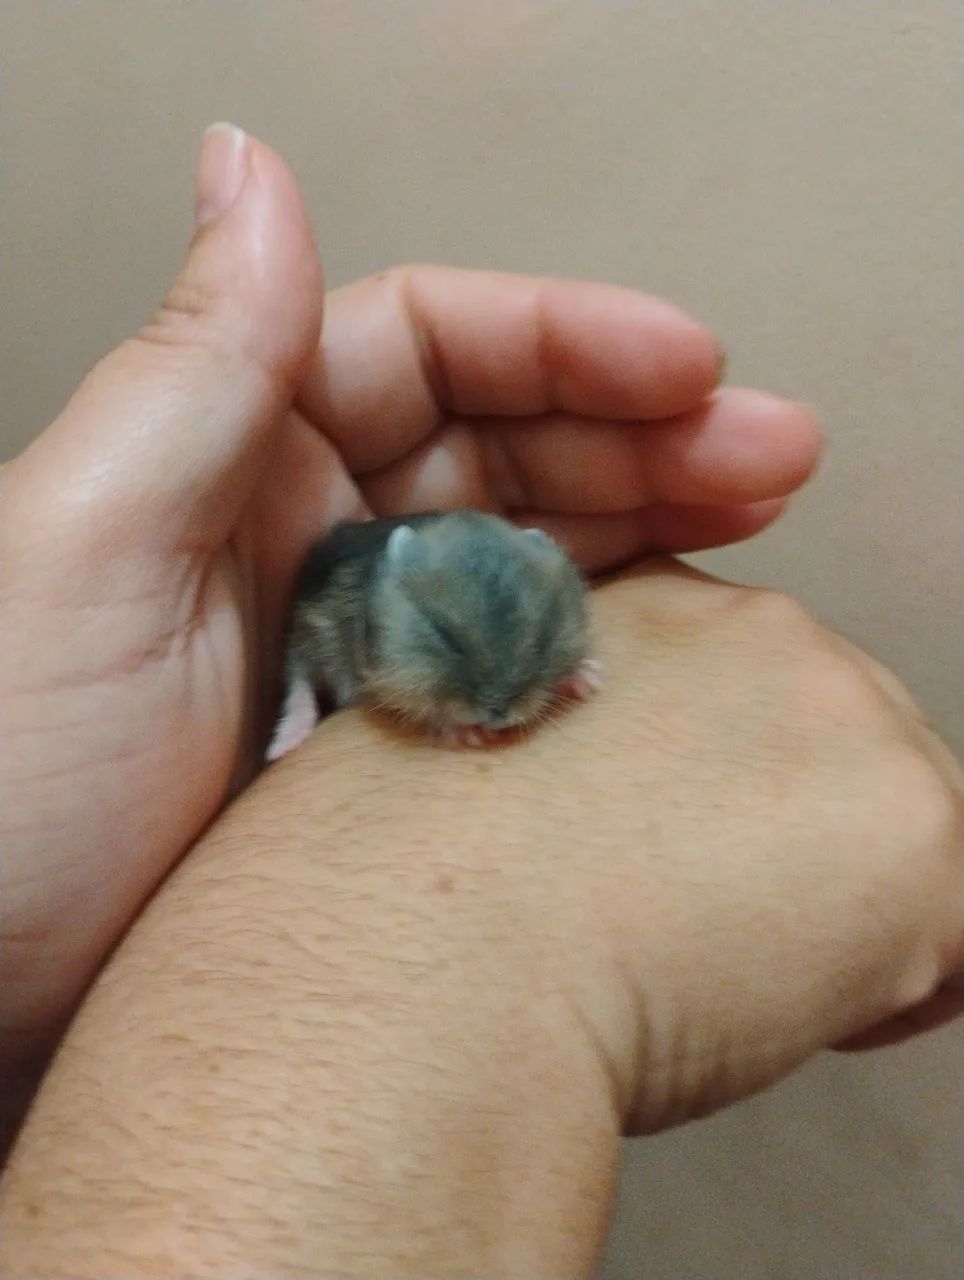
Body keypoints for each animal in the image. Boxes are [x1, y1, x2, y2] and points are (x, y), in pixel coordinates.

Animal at [266, 510, 601, 760]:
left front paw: (588, 676)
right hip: (307, 633)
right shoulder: (390, 680)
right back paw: (284, 745)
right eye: (445, 635)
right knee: (299, 678)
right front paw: (470, 734)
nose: (497, 717)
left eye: (543, 636)